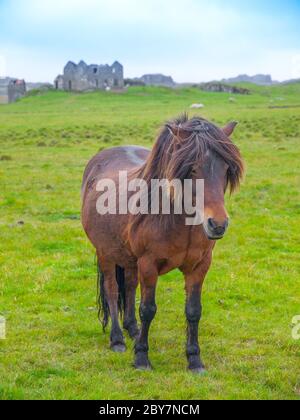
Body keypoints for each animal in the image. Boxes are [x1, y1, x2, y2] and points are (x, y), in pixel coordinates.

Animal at [81, 115, 244, 374]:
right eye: (192, 168)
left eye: (226, 169)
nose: (217, 224)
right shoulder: (148, 264)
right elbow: (148, 309)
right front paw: (141, 358)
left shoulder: (199, 266)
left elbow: (193, 311)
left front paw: (194, 360)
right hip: (106, 253)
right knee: (112, 290)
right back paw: (117, 339)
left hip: (128, 259)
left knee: (129, 286)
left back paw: (133, 329)